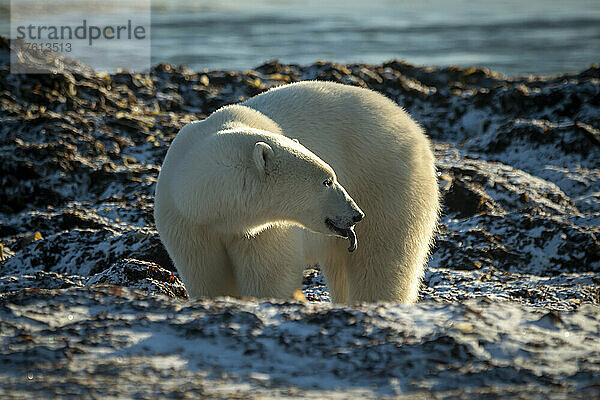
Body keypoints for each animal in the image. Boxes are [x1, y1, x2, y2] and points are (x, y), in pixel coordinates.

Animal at [152, 79, 438, 302]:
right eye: (327, 181)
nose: (356, 214)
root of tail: (409, 121)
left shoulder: (266, 230)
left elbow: (270, 275)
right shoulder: (186, 224)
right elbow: (207, 277)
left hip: (386, 182)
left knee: (381, 263)